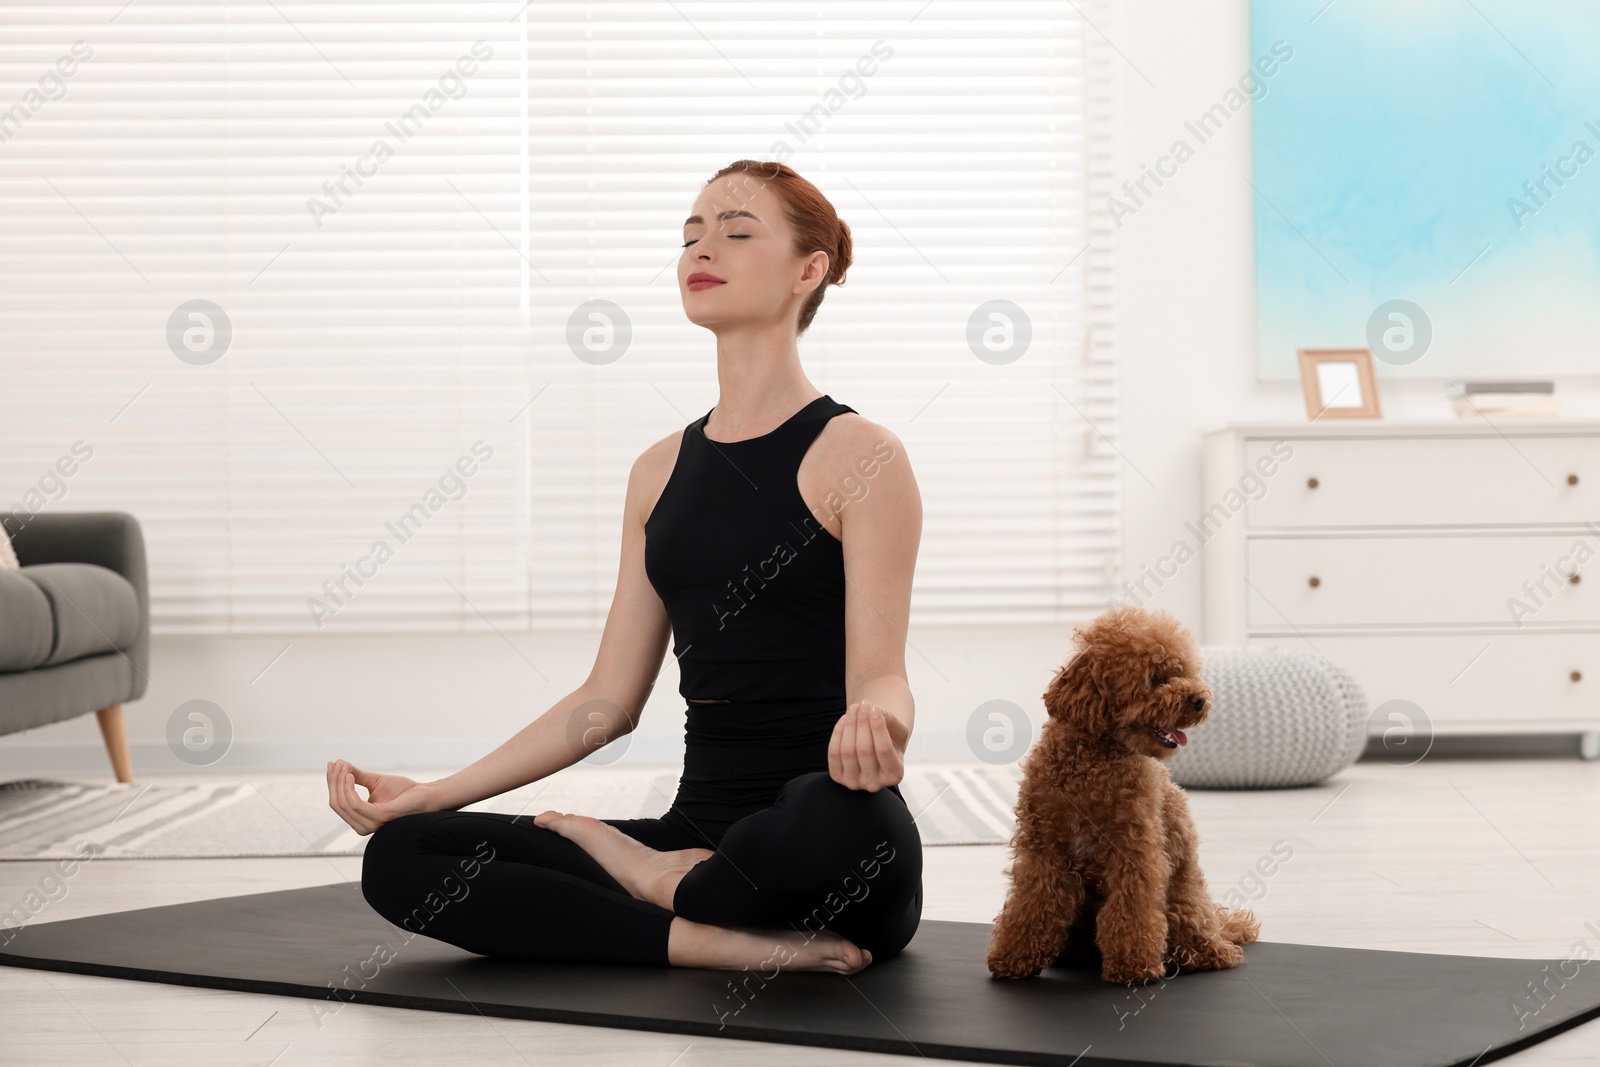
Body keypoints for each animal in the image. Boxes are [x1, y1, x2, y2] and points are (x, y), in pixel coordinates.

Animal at [985, 604, 1260, 991]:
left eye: (1183, 672)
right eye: (1156, 678)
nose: (1199, 699)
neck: (1093, 761)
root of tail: (1218, 925)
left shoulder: (1135, 852)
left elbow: (1132, 911)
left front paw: (1133, 967)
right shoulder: (1044, 851)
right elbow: (1031, 904)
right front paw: (1013, 958)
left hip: (1184, 900)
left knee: (1201, 936)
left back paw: (1203, 954)